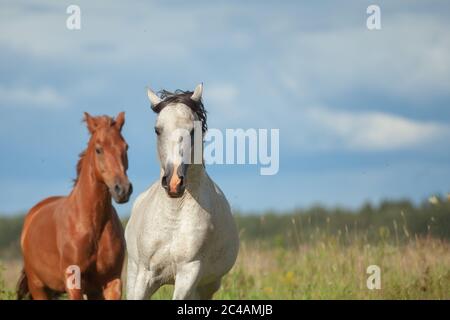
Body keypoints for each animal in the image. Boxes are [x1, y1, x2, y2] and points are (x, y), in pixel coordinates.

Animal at [18, 112, 134, 300]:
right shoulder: (73, 283)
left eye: (126, 147)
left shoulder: (112, 282)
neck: (93, 226)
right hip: (38, 288)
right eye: (99, 149)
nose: (122, 189)